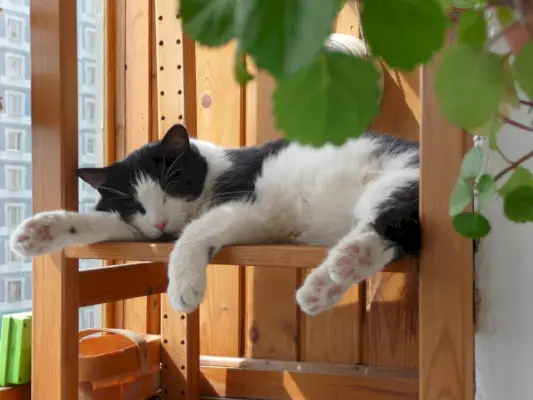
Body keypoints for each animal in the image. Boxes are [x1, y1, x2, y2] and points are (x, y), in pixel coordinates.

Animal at [6, 124, 418, 316]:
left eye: (170, 185)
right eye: (136, 204)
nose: (160, 224)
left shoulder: (248, 204)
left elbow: (193, 231)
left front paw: (183, 284)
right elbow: (112, 223)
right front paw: (41, 230)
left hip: (400, 177)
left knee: (393, 222)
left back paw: (345, 263)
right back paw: (325, 285)